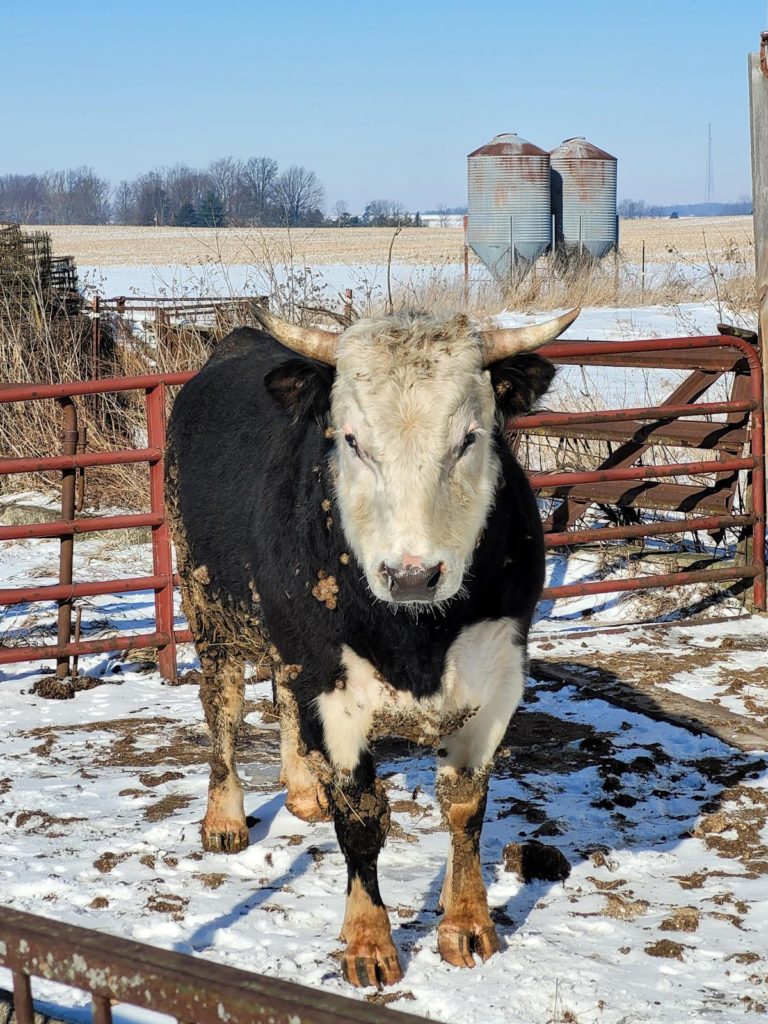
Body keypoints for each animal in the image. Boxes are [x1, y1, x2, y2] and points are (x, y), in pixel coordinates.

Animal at [165, 305, 577, 988]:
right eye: (353, 440)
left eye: (469, 438)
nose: (412, 575)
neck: (419, 639)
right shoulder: (334, 690)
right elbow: (359, 819)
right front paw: (368, 941)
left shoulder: (496, 681)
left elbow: (465, 807)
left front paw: (467, 924)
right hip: (208, 605)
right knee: (223, 705)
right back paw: (223, 816)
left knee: (283, 692)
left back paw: (302, 788)